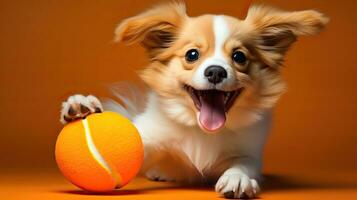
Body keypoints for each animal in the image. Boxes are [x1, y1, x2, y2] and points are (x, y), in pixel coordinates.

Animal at [59, 1, 326, 198]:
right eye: (192, 54)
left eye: (239, 57)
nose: (216, 71)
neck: (202, 130)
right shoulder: (147, 137)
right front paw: (83, 106)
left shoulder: (250, 151)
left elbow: (244, 162)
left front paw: (238, 178)